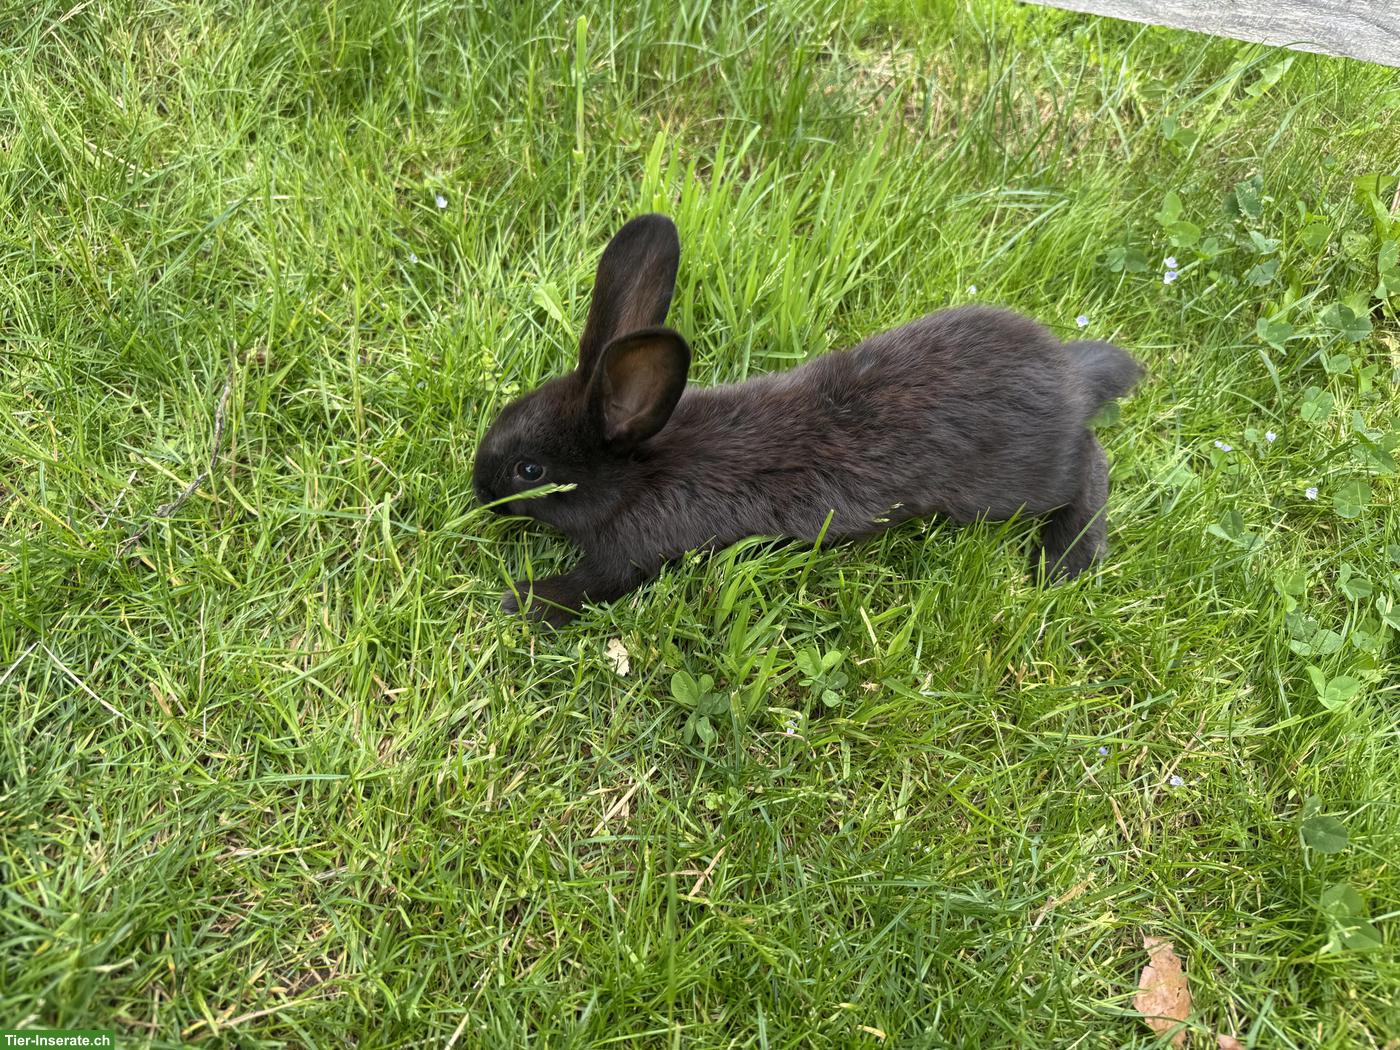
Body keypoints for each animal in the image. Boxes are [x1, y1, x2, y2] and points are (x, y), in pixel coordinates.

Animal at [473, 213, 1143, 626]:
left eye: (530, 470)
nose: (479, 492)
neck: (640, 472)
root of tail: (1070, 381)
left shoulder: (631, 553)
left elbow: (594, 584)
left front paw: (523, 601)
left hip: (1014, 485)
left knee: (1093, 466)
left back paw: (1064, 561)